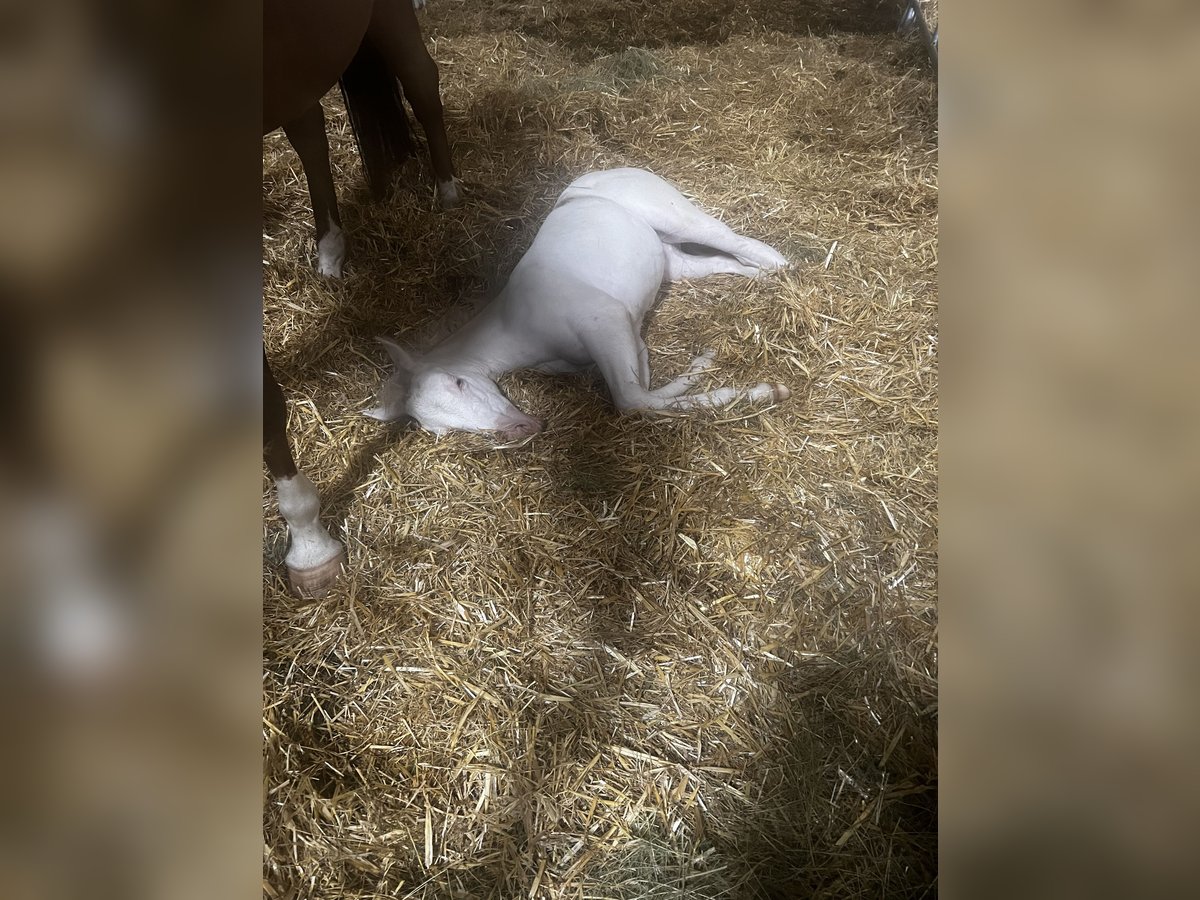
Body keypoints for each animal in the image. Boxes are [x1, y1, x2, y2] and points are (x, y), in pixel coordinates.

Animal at [367, 169, 796, 441]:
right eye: (440, 431)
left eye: (457, 382)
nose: (520, 429)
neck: (521, 325)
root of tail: (611, 169)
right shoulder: (623, 335)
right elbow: (646, 386)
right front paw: (706, 363)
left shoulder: (606, 320)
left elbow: (632, 401)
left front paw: (765, 390)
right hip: (669, 259)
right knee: (725, 263)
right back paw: (763, 277)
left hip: (673, 216)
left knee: (730, 238)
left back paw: (788, 266)